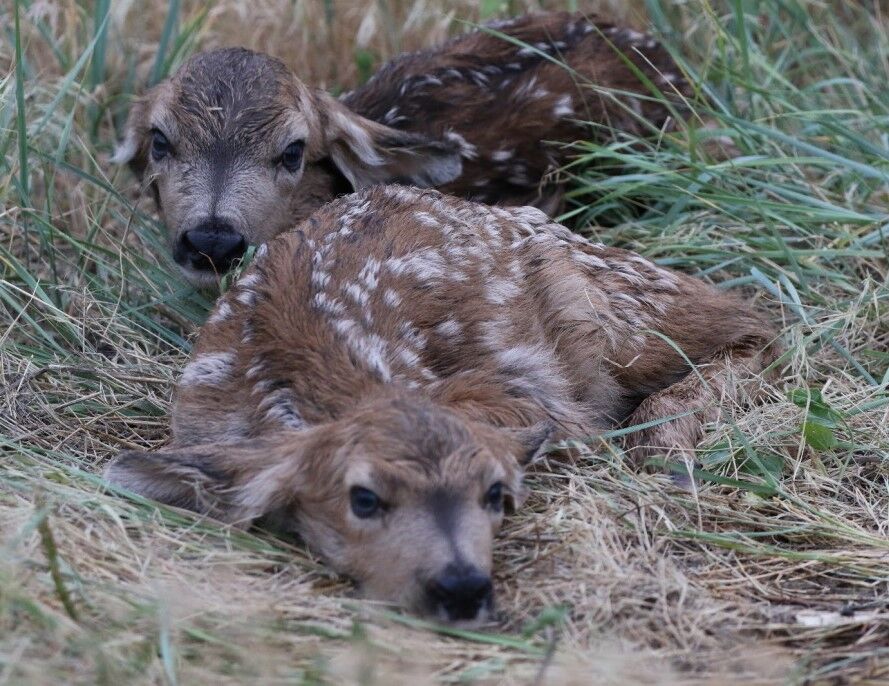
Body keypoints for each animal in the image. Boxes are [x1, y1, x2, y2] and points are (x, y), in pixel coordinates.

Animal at [105, 187, 775, 624]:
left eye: (497, 493)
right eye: (363, 498)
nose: (462, 588)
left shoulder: (520, 389)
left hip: (612, 305)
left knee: (755, 323)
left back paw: (664, 446)